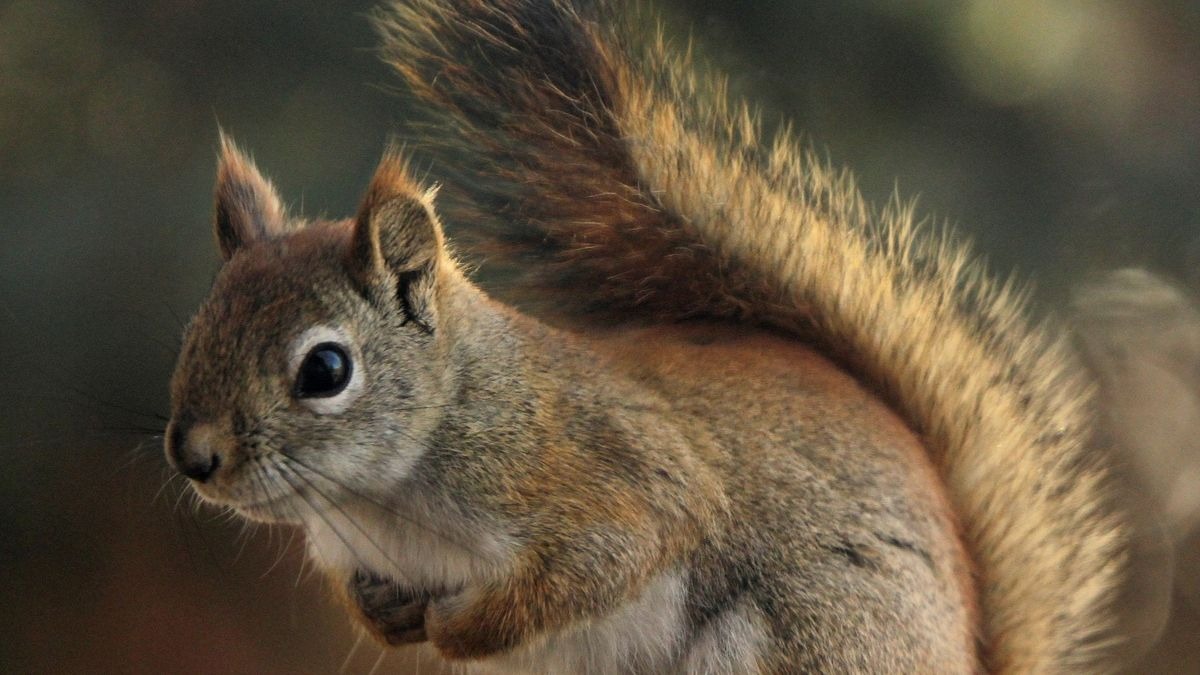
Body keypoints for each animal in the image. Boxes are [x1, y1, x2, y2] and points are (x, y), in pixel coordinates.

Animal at [164, 0, 1123, 672]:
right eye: (196, 330)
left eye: (326, 368)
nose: (194, 457)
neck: (383, 498)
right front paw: (388, 616)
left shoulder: (602, 471)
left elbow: (613, 552)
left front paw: (463, 625)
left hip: (817, 634)